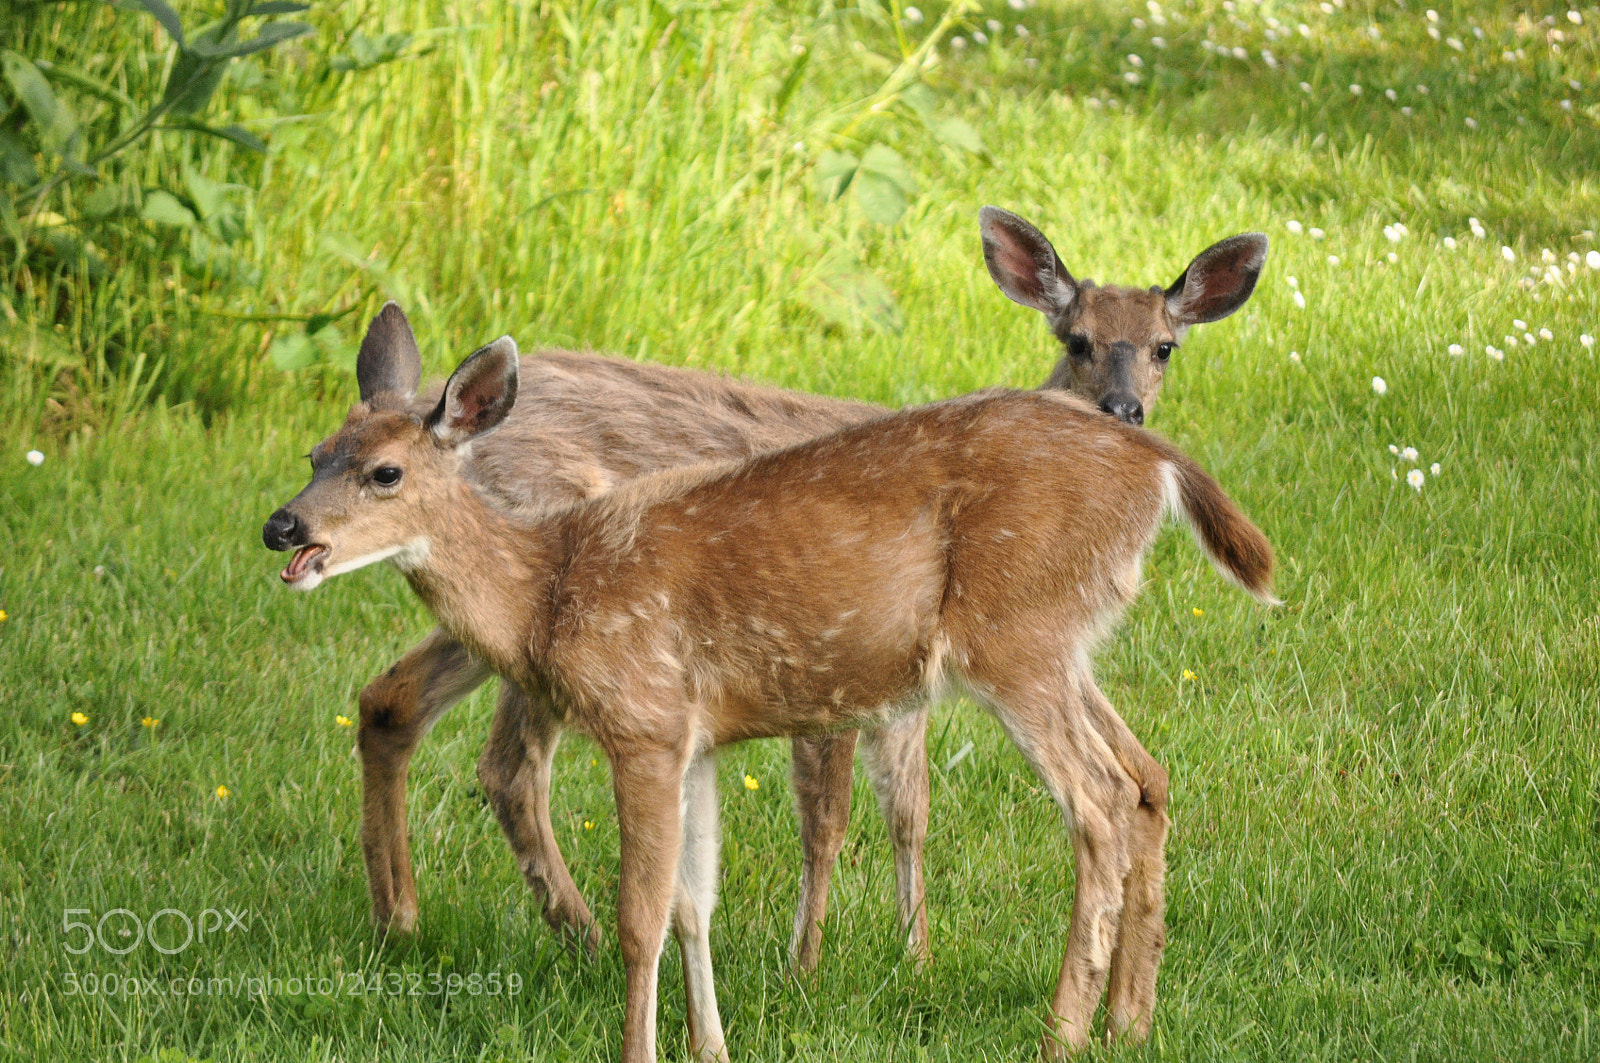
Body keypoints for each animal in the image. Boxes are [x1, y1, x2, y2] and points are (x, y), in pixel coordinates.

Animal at [270, 207, 1268, 979]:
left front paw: (911, 957)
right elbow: (835, 815)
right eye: (1076, 339)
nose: (1123, 410)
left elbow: (908, 809)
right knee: (506, 763)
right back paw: (575, 935)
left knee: (391, 700)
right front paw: (815, 965)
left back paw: (403, 920)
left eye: (1166, 347)